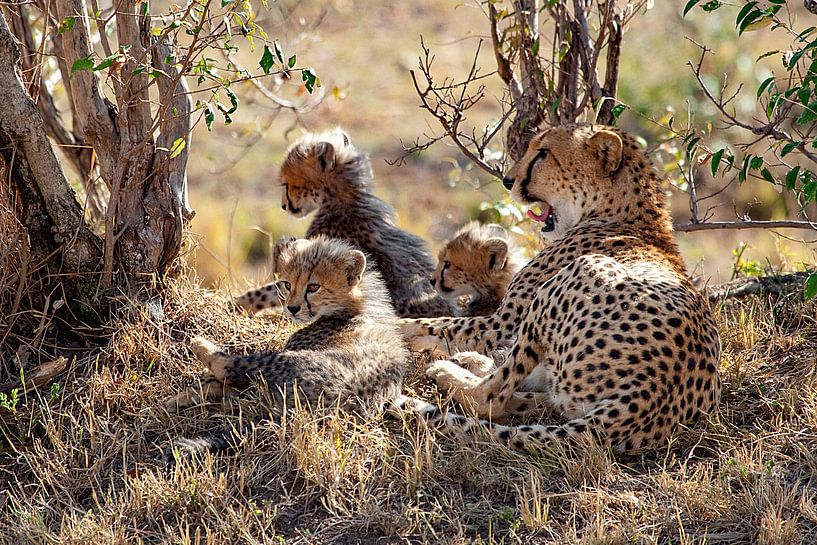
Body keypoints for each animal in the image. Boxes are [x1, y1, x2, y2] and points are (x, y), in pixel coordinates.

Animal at [168, 236, 411, 451]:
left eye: (313, 287)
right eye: (286, 284)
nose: (292, 308)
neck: (354, 307)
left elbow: (226, 378)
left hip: (283, 361)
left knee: (230, 369)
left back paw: (198, 350)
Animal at [396, 124, 721, 454]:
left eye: (543, 153)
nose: (508, 180)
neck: (626, 214)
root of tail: (647, 400)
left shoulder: (502, 323)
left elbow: (433, 323)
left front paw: (402, 330)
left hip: (579, 271)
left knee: (490, 399)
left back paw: (449, 372)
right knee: (541, 400)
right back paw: (472, 361)